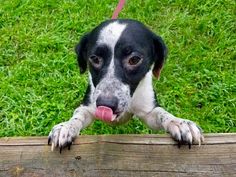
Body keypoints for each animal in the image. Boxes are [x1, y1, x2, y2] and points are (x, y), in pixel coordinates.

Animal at [48, 19, 205, 152]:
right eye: (94, 58)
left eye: (134, 59)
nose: (105, 104)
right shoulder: (88, 107)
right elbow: (77, 116)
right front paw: (66, 127)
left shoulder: (149, 113)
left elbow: (162, 114)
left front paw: (179, 123)